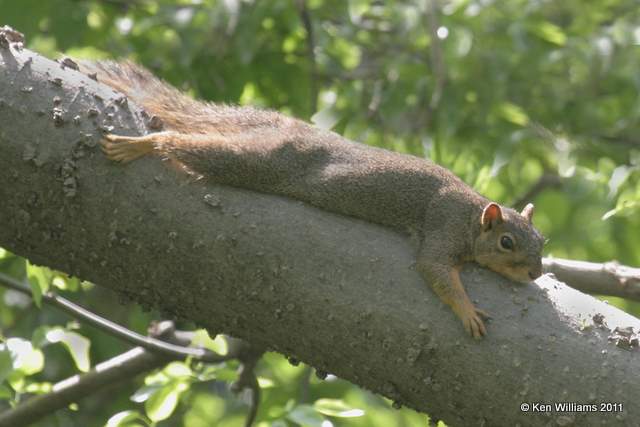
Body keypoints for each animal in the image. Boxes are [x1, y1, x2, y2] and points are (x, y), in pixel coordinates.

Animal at [82, 61, 544, 342]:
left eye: (542, 242)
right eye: (507, 242)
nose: (536, 273)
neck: (470, 215)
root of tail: (286, 128)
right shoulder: (442, 225)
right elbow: (434, 269)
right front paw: (467, 311)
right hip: (263, 163)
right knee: (190, 147)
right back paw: (141, 144)